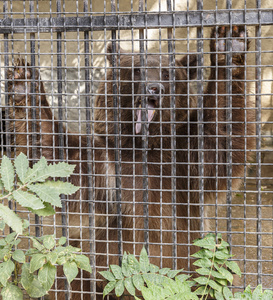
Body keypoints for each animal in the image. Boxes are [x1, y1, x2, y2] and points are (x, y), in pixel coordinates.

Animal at [7, 24, 254, 298]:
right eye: (136, 69)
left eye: (167, 73)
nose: (154, 88)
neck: (141, 146)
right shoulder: (103, 166)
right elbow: (51, 155)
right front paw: (22, 79)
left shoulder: (182, 161)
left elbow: (221, 138)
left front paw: (229, 42)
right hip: (92, 271)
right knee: (67, 275)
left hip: (196, 272)